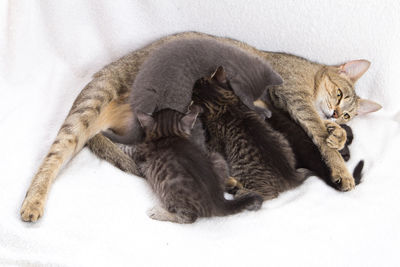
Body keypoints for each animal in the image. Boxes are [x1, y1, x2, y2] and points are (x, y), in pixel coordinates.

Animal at [131, 107, 264, 224]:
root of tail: (219, 201)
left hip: (171, 189)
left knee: (188, 218)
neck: (167, 135)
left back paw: (158, 213)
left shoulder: (140, 156)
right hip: (216, 157)